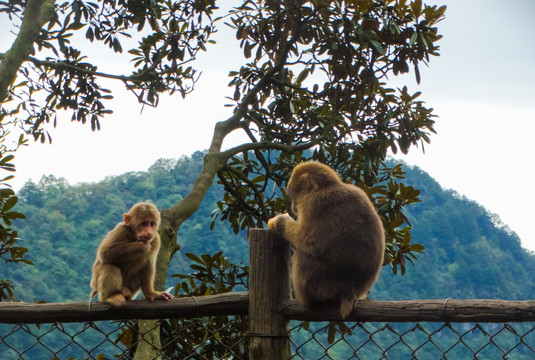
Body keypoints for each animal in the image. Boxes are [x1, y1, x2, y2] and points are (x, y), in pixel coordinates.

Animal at [268, 162, 386, 320]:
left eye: (293, 196)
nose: (293, 207)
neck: (325, 187)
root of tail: (350, 289)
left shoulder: (313, 204)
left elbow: (309, 241)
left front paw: (281, 222)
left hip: (321, 283)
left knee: (302, 254)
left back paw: (308, 302)